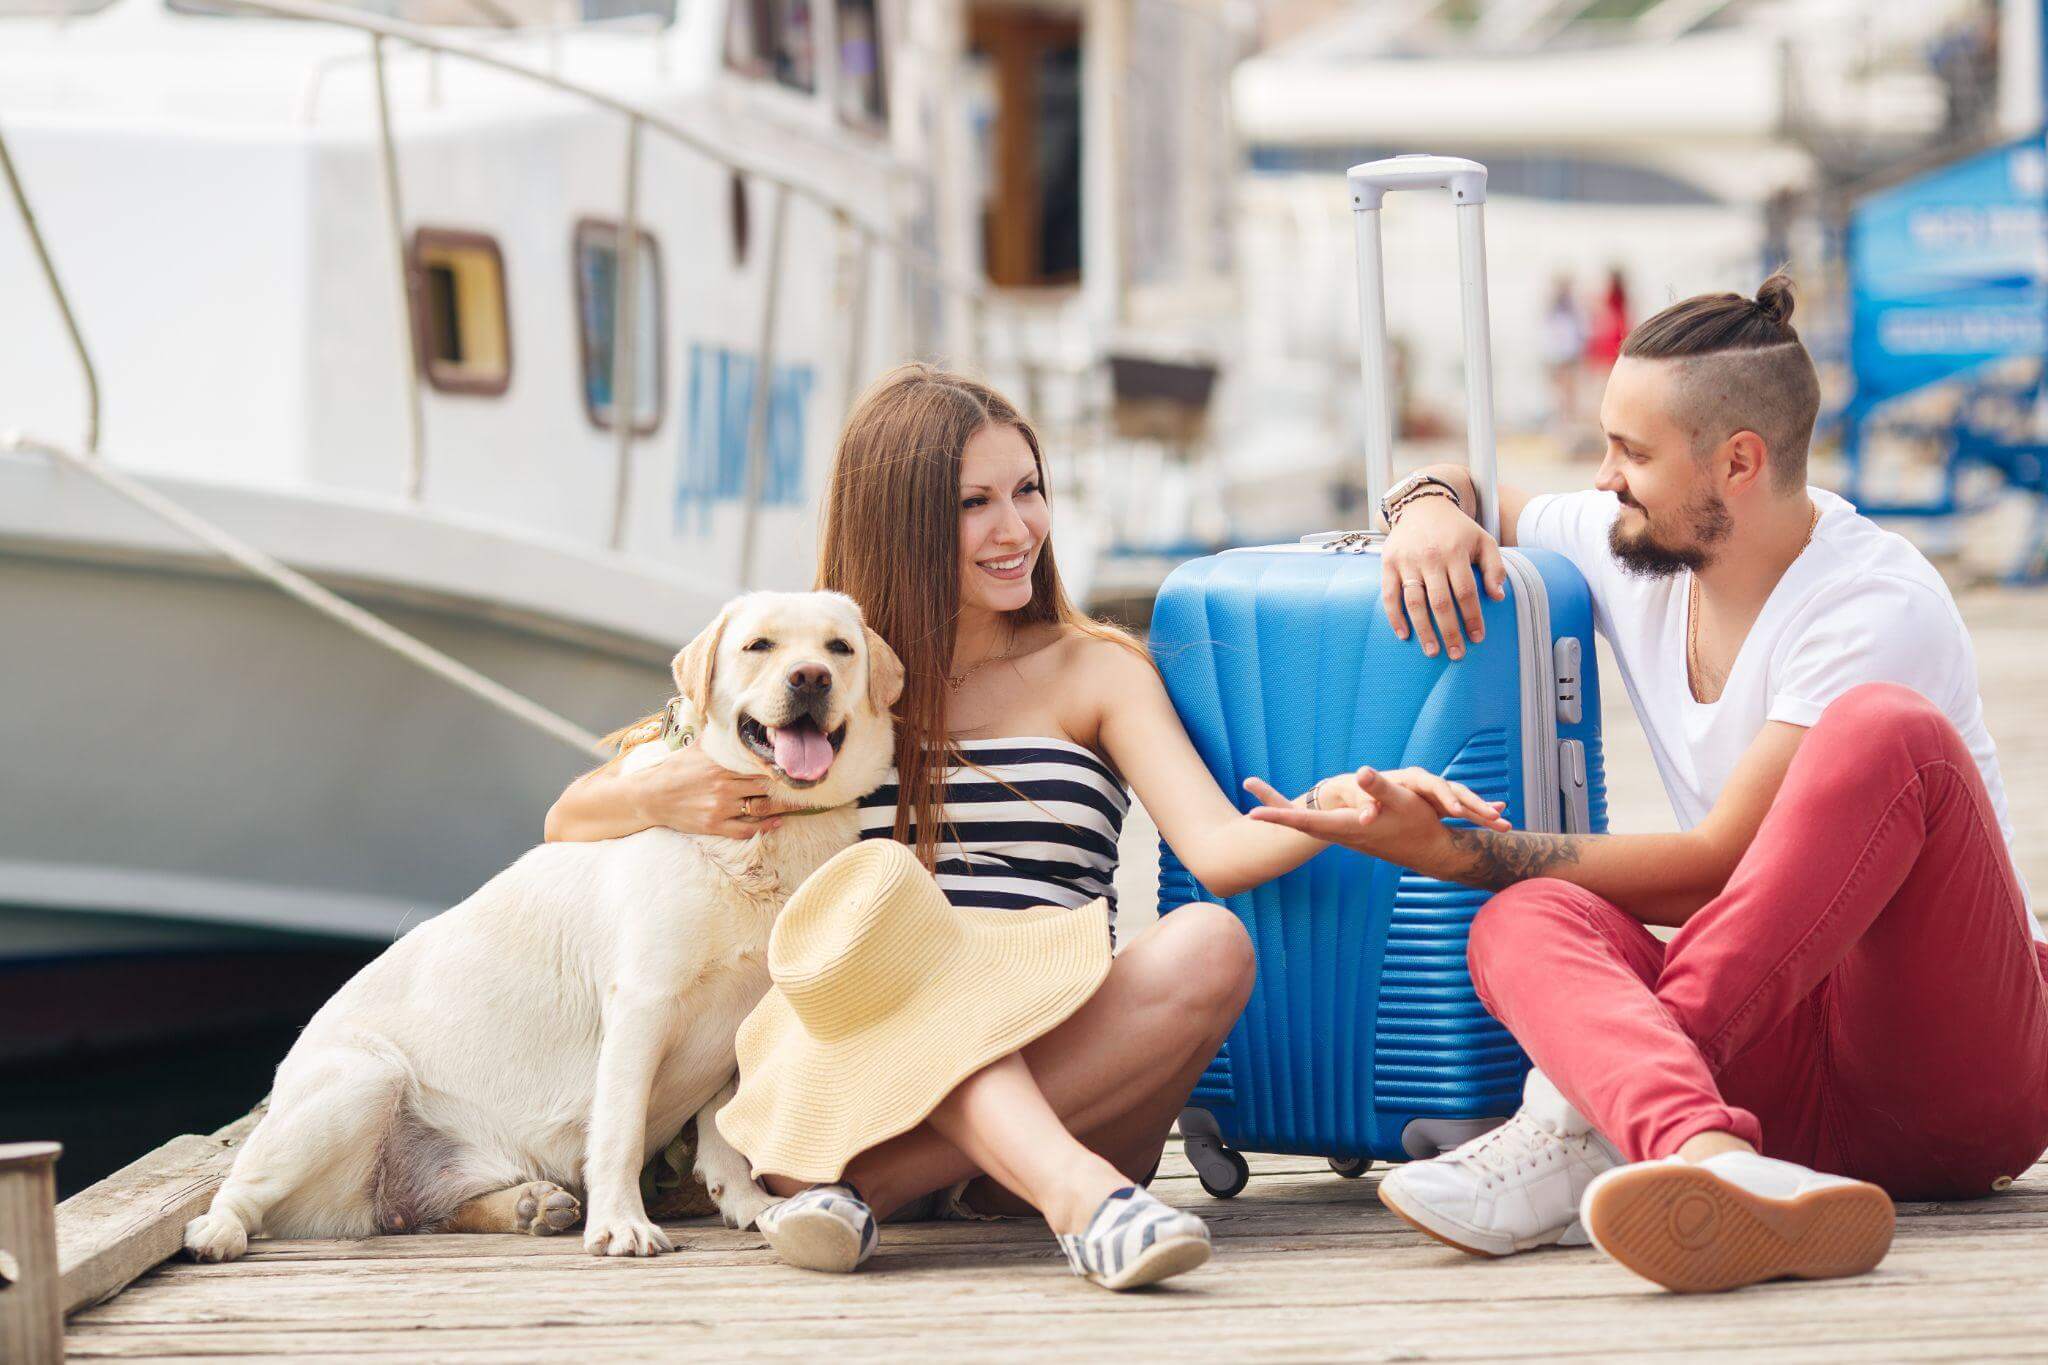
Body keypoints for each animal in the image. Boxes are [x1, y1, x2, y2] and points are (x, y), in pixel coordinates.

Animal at [186, 593, 905, 1268]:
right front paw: (622, 1224)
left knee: (422, 1212)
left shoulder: (744, 1014)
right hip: (363, 1078)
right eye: (760, 645)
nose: (810, 677)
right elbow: (618, 1130)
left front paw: (751, 1205)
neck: (763, 837)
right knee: (241, 1192)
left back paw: (527, 1204)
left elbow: (727, 1133)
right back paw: (217, 1232)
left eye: (839, 648)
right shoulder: (642, 1004)